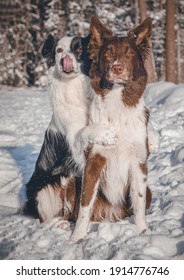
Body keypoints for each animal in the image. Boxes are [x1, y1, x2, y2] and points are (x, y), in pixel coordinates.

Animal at [71, 16, 155, 242]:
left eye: (130, 53)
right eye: (107, 53)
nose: (117, 68)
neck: (118, 100)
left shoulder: (138, 162)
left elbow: (139, 203)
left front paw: (142, 231)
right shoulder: (94, 160)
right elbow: (85, 206)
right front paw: (76, 238)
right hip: (73, 183)